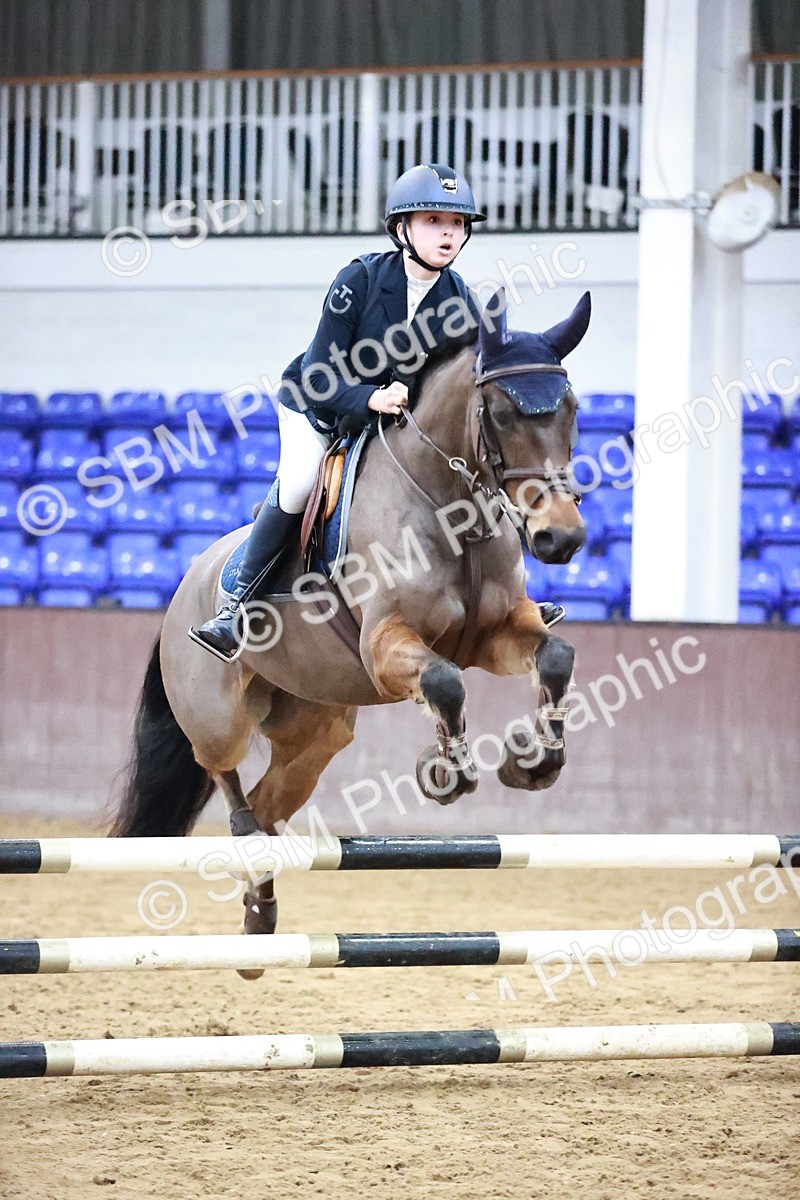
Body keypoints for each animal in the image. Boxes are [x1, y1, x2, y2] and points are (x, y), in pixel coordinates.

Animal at [112, 288, 590, 952]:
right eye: (500, 413)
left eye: (571, 408)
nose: (561, 538)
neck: (450, 510)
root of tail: (187, 584)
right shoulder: (386, 645)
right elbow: (443, 681)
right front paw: (444, 772)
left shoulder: (492, 637)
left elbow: (555, 657)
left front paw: (532, 763)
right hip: (217, 716)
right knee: (227, 779)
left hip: (317, 732)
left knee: (268, 805)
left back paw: (260, 921)